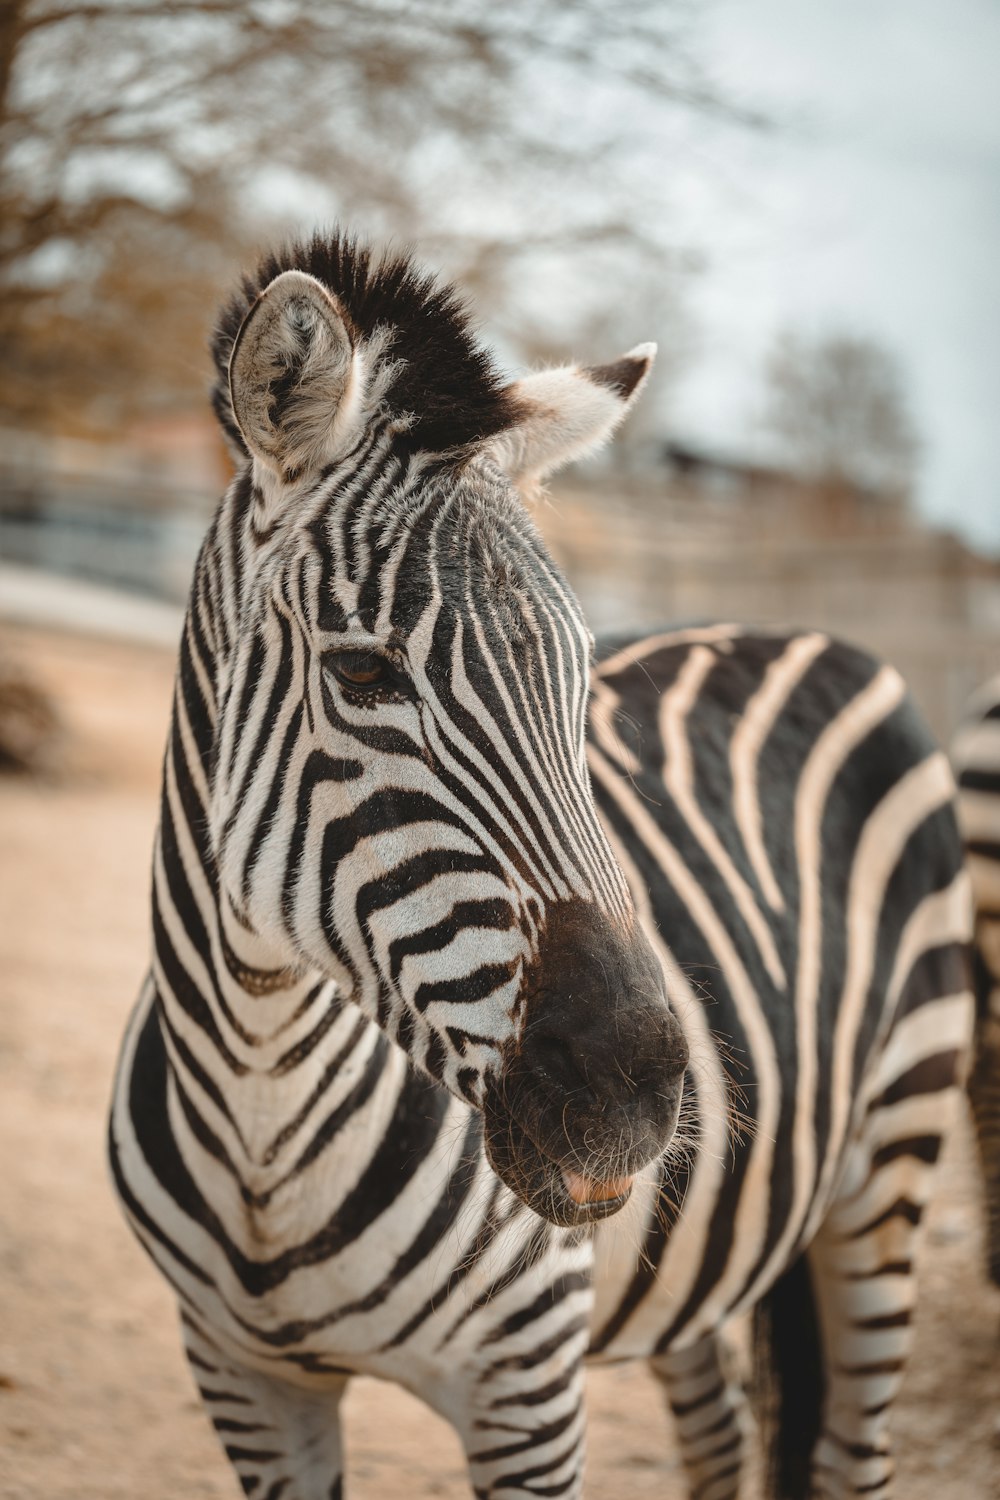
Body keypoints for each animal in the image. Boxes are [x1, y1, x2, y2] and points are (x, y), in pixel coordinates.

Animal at [107, 234, 971, 1500]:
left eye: (579, 685)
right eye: (362, 675)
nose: (639, 1095)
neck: (259, 1097)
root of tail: (814, 633)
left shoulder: (525, 1392)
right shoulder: (242, 1379)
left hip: (889, 1171)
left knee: (852, 1451)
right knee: (721, 1433)